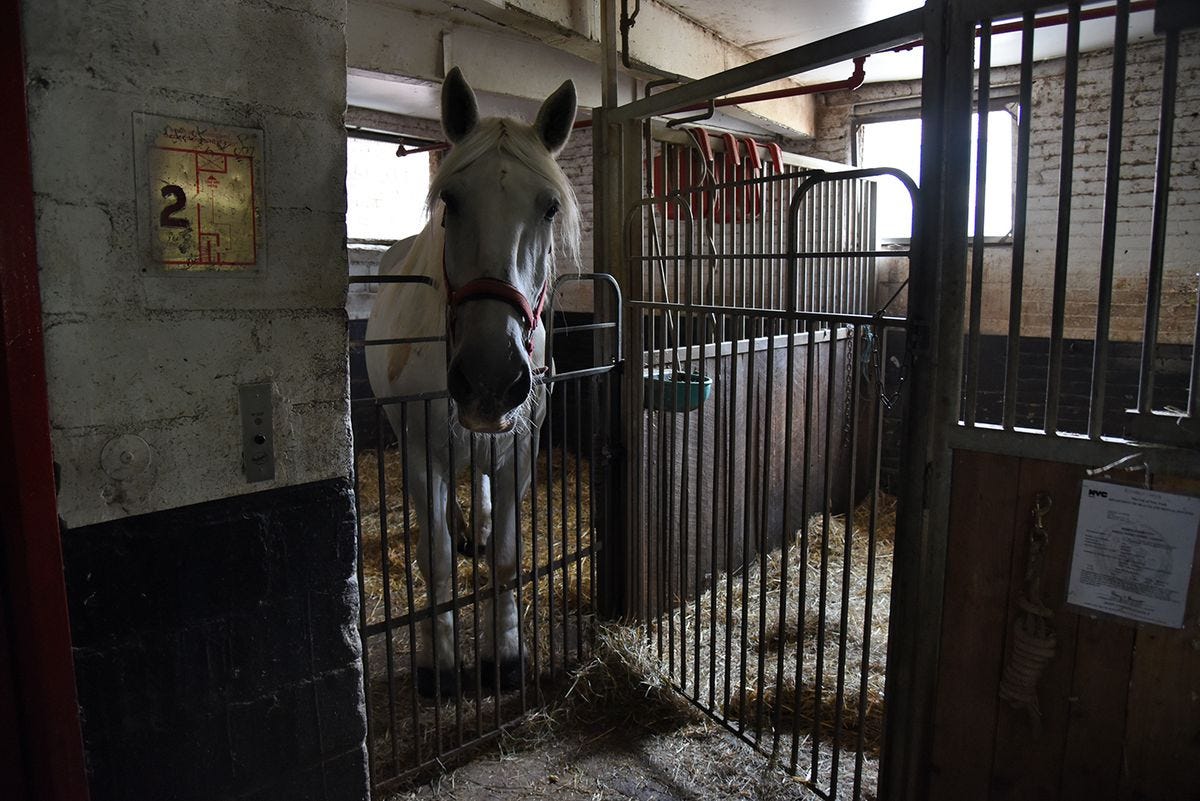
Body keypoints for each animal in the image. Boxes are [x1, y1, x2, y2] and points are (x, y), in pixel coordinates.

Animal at [365, 67, 580, 697]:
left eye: (550, 208)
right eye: (450, 201)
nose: (490, 375)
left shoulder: (521, 446)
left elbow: (507, 556)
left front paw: (505, 656)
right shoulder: (420, 449)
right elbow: (434, 556)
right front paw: (439, 666)